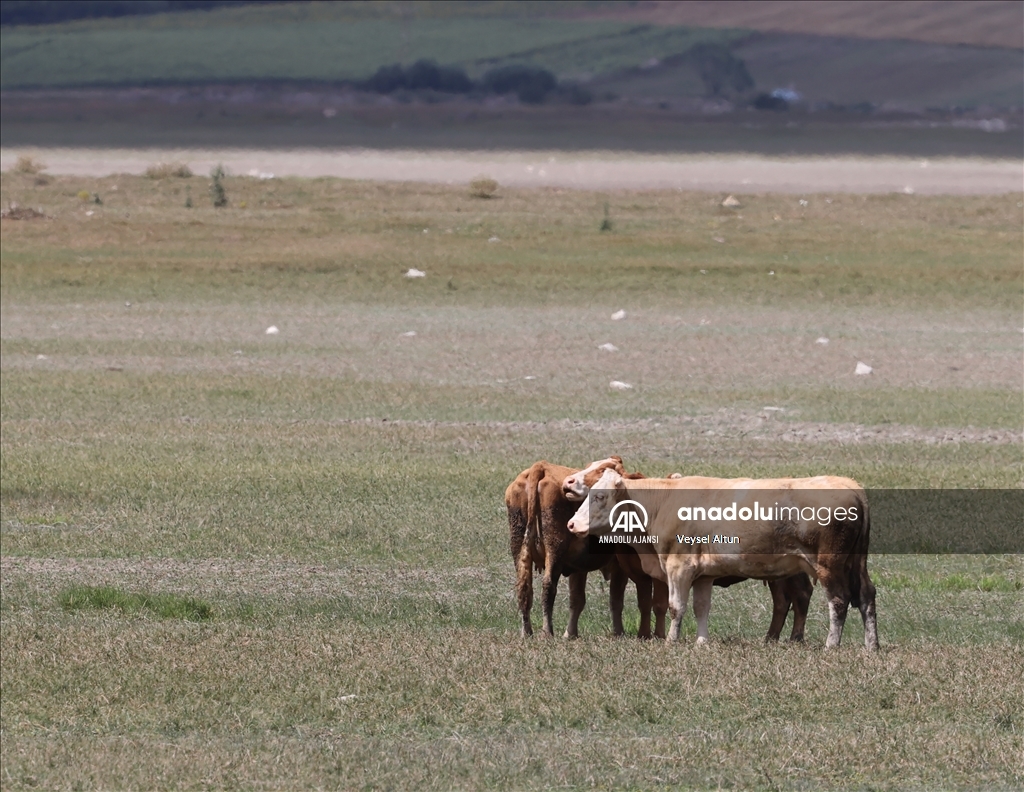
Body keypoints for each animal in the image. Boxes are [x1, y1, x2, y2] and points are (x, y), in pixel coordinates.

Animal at [565, 469, 876, 647]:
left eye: (600, 496)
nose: (571, 524)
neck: (662, 503)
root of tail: (851, 487)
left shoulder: (679, 567)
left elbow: (676, 606)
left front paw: (671, 641)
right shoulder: (704, 574)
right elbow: (702, 607)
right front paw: (702, 642)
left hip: (828, 565)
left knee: (838, 600)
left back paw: (831, 645)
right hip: (855, 564)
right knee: (866, 596)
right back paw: (871, 645)